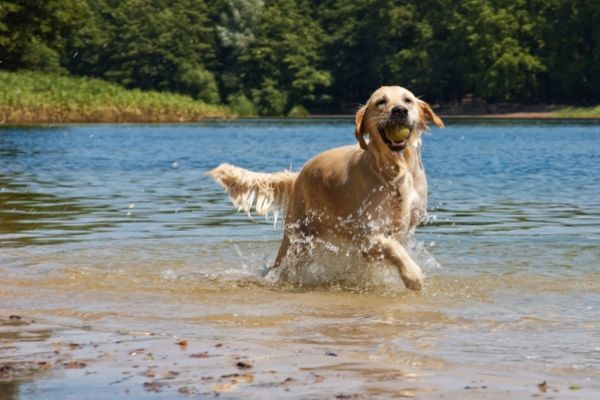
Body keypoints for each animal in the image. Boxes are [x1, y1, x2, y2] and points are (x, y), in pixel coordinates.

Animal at [209, 86, 442, 290]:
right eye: (381, 102)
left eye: (408, 100)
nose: (399, 110)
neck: (395, 169)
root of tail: (298, 175)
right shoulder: (365, 234)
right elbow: (393, 248)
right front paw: (413, 275)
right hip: (297, 238)